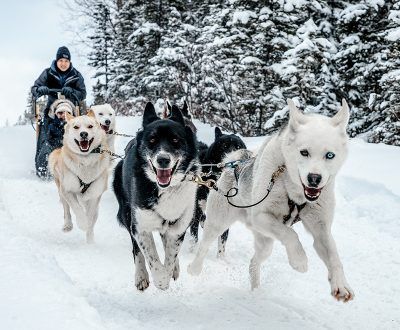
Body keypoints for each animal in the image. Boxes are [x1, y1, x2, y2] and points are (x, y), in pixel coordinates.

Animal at [49, 111, 110, 242]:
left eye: (90, 126)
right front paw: (82, 223)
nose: (83, 134)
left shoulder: (94, 196)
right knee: (66, 209)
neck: (85, 161)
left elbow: (90, 218)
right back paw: (68, 225)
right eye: (76, 127)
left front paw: (90, 241)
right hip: (61, 190)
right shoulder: (67, 190)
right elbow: (76, 208)